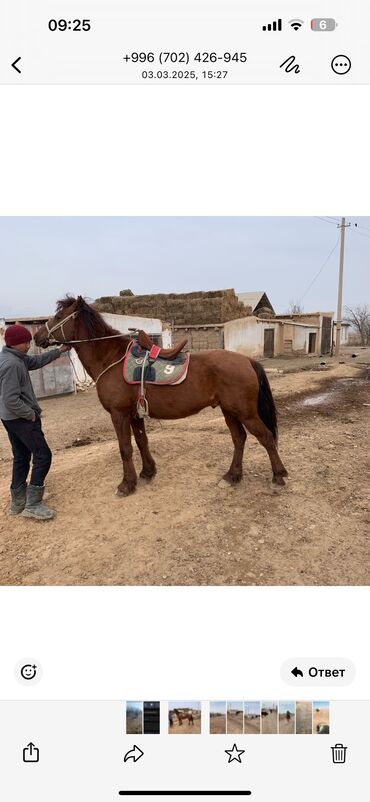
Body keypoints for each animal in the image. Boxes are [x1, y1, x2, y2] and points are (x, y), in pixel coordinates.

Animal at [34, 294, 288, 494]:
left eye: (59, 316)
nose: (37, 336)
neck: (111, 359)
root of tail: (247, 360)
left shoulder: (118, 414)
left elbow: (125, 449)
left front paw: (127, 484)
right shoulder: (134, 414)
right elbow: (141, 442)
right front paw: (148, 472)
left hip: (245, 412)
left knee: (266, 438)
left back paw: (278, 476)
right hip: (229, 411)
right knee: (239, 439)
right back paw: (232, 476)